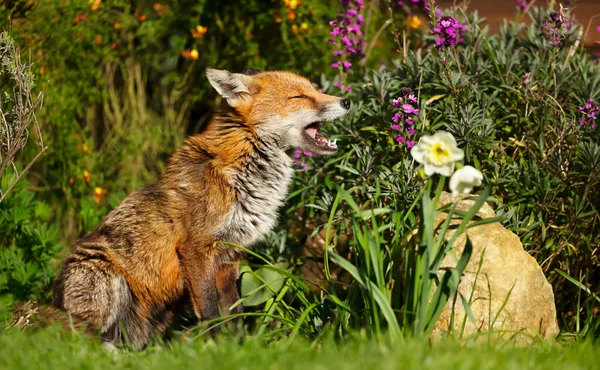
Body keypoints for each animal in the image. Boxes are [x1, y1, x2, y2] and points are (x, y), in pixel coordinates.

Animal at [44, 68, 350, 348]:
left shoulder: (230, 255)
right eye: (299, 97)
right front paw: (214, 347)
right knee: (81, 341)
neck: (242, 177)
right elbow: (211, 310)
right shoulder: (196, 249)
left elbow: (235, 312)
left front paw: (238, 348)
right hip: (107, 283)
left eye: (314, 89)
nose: (347, 101)